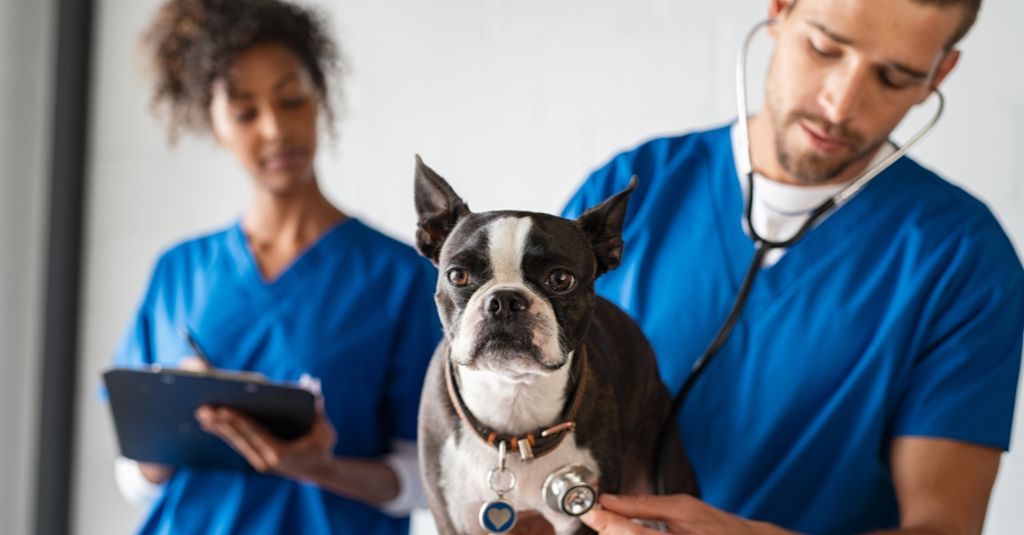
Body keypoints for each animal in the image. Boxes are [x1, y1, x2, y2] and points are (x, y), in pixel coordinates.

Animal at [413, 154, 696, 532]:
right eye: (457, 275)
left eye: (561, 279)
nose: (504, 300)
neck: (513, 398)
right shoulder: (453, 517)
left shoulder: (582, 512)